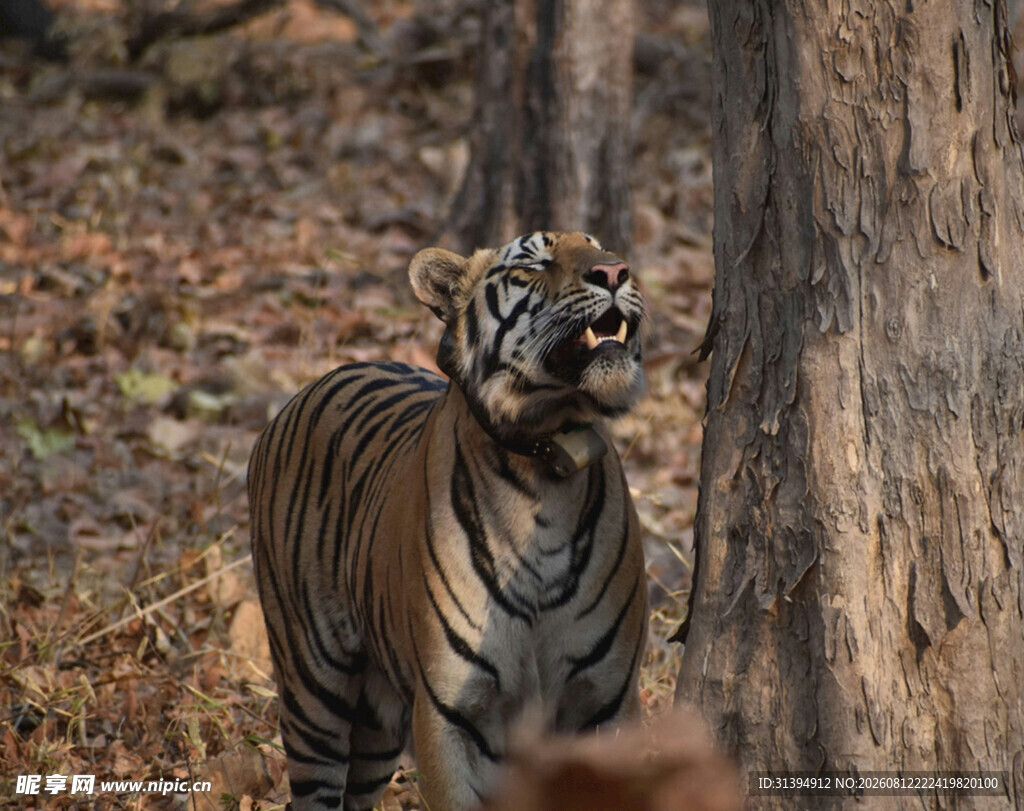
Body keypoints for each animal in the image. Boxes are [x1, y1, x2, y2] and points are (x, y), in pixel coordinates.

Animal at [247, 231, 648, 811]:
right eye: (534, 263)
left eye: (600, 246)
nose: (615, 271)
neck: (545, 466)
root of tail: (303, 391)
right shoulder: (451, 712)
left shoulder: (610, 701)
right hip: (312, 689)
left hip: (375, 727)